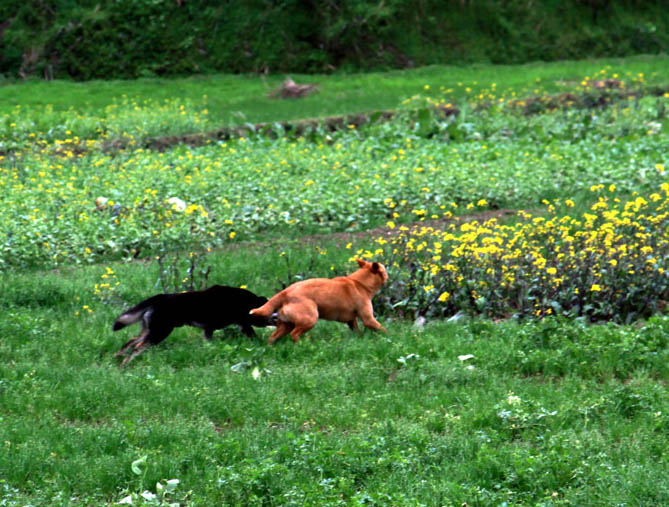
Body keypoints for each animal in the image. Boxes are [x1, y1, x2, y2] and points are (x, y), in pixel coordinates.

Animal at [113, 286, 270, 366]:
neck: (246, 302)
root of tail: (159, 297)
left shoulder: (208, 329)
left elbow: (208, 343)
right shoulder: (243, 324)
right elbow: (253, 335)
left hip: (149, 330)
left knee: (130, 342)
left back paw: (118, 359)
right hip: (160, 332)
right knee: (137, 347)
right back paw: (125, 364)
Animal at [249, 258, 386, 346]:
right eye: (384, 269)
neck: (360, 283)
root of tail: (286, 292)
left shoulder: (351, 320)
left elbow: (358, 331)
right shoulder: (368, 318)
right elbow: (382, 328)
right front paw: (388, 337)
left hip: (285, 325)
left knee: (272, 337)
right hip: (310, 319)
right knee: (294, 334)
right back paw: (302, 346)